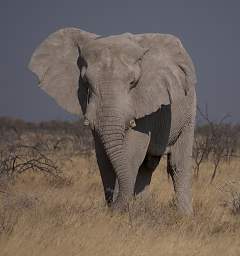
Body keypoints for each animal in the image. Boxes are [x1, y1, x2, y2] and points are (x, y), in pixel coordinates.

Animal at [28, 27, 197, 215]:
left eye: (133, 82)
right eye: (86, 81)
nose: (109, 205)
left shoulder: (145, 102)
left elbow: (130, 154)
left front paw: (119, 211)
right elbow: (103, 157)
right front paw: (120, 210)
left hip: (189, 110)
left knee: (177, 164)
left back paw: (184, 216)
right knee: (147, 167)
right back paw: (142, 210)